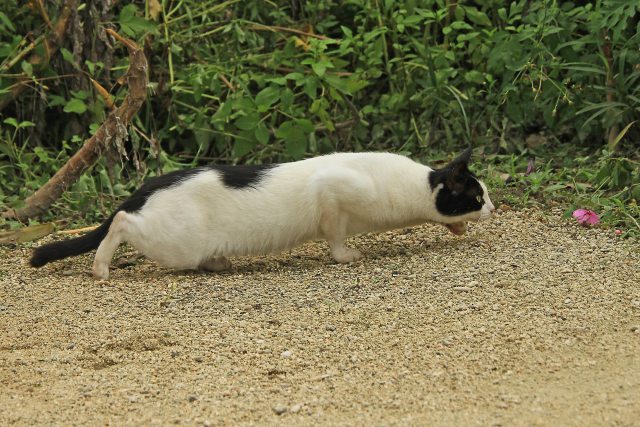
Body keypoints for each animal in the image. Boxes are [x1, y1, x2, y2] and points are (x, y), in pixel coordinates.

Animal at [31, 148, 496, 280]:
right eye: (477, 197)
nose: (493, 208)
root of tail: (150, 184)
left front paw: (456, 231)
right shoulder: (332, 193)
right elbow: (335, 236)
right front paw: (346, 256)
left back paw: (218, 262)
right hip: (174, 243)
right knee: (122, 223)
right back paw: (101, 267)